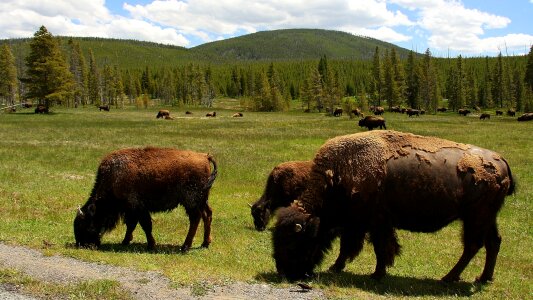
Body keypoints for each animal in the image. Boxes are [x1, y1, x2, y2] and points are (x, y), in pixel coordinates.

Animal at [74, 147, 217, 251]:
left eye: (84, 224)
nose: (82, 244)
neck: (114, 178)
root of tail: (205, 156)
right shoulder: (132, 211)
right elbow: (132, 225)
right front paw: (125, 241)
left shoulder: (138, 208)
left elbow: (145, 226)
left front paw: (151, 245)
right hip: (202, 200)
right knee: (207, 215)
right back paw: (205, 243)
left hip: (191, 202)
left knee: (195, 219)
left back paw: (185, 247)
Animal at [272, 130, 512, 282]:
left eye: (292, 243)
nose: (284, 272)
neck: (338, 175)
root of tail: (501, 160)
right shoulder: (357, 224)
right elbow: (348, 247)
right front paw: (337, 267)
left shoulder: (375, 223)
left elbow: (379, 248)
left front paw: (377, 274)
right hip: (487, 218)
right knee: (493, 242)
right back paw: (483, 278)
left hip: (475, 217)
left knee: (473, 246)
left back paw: (448, 278)